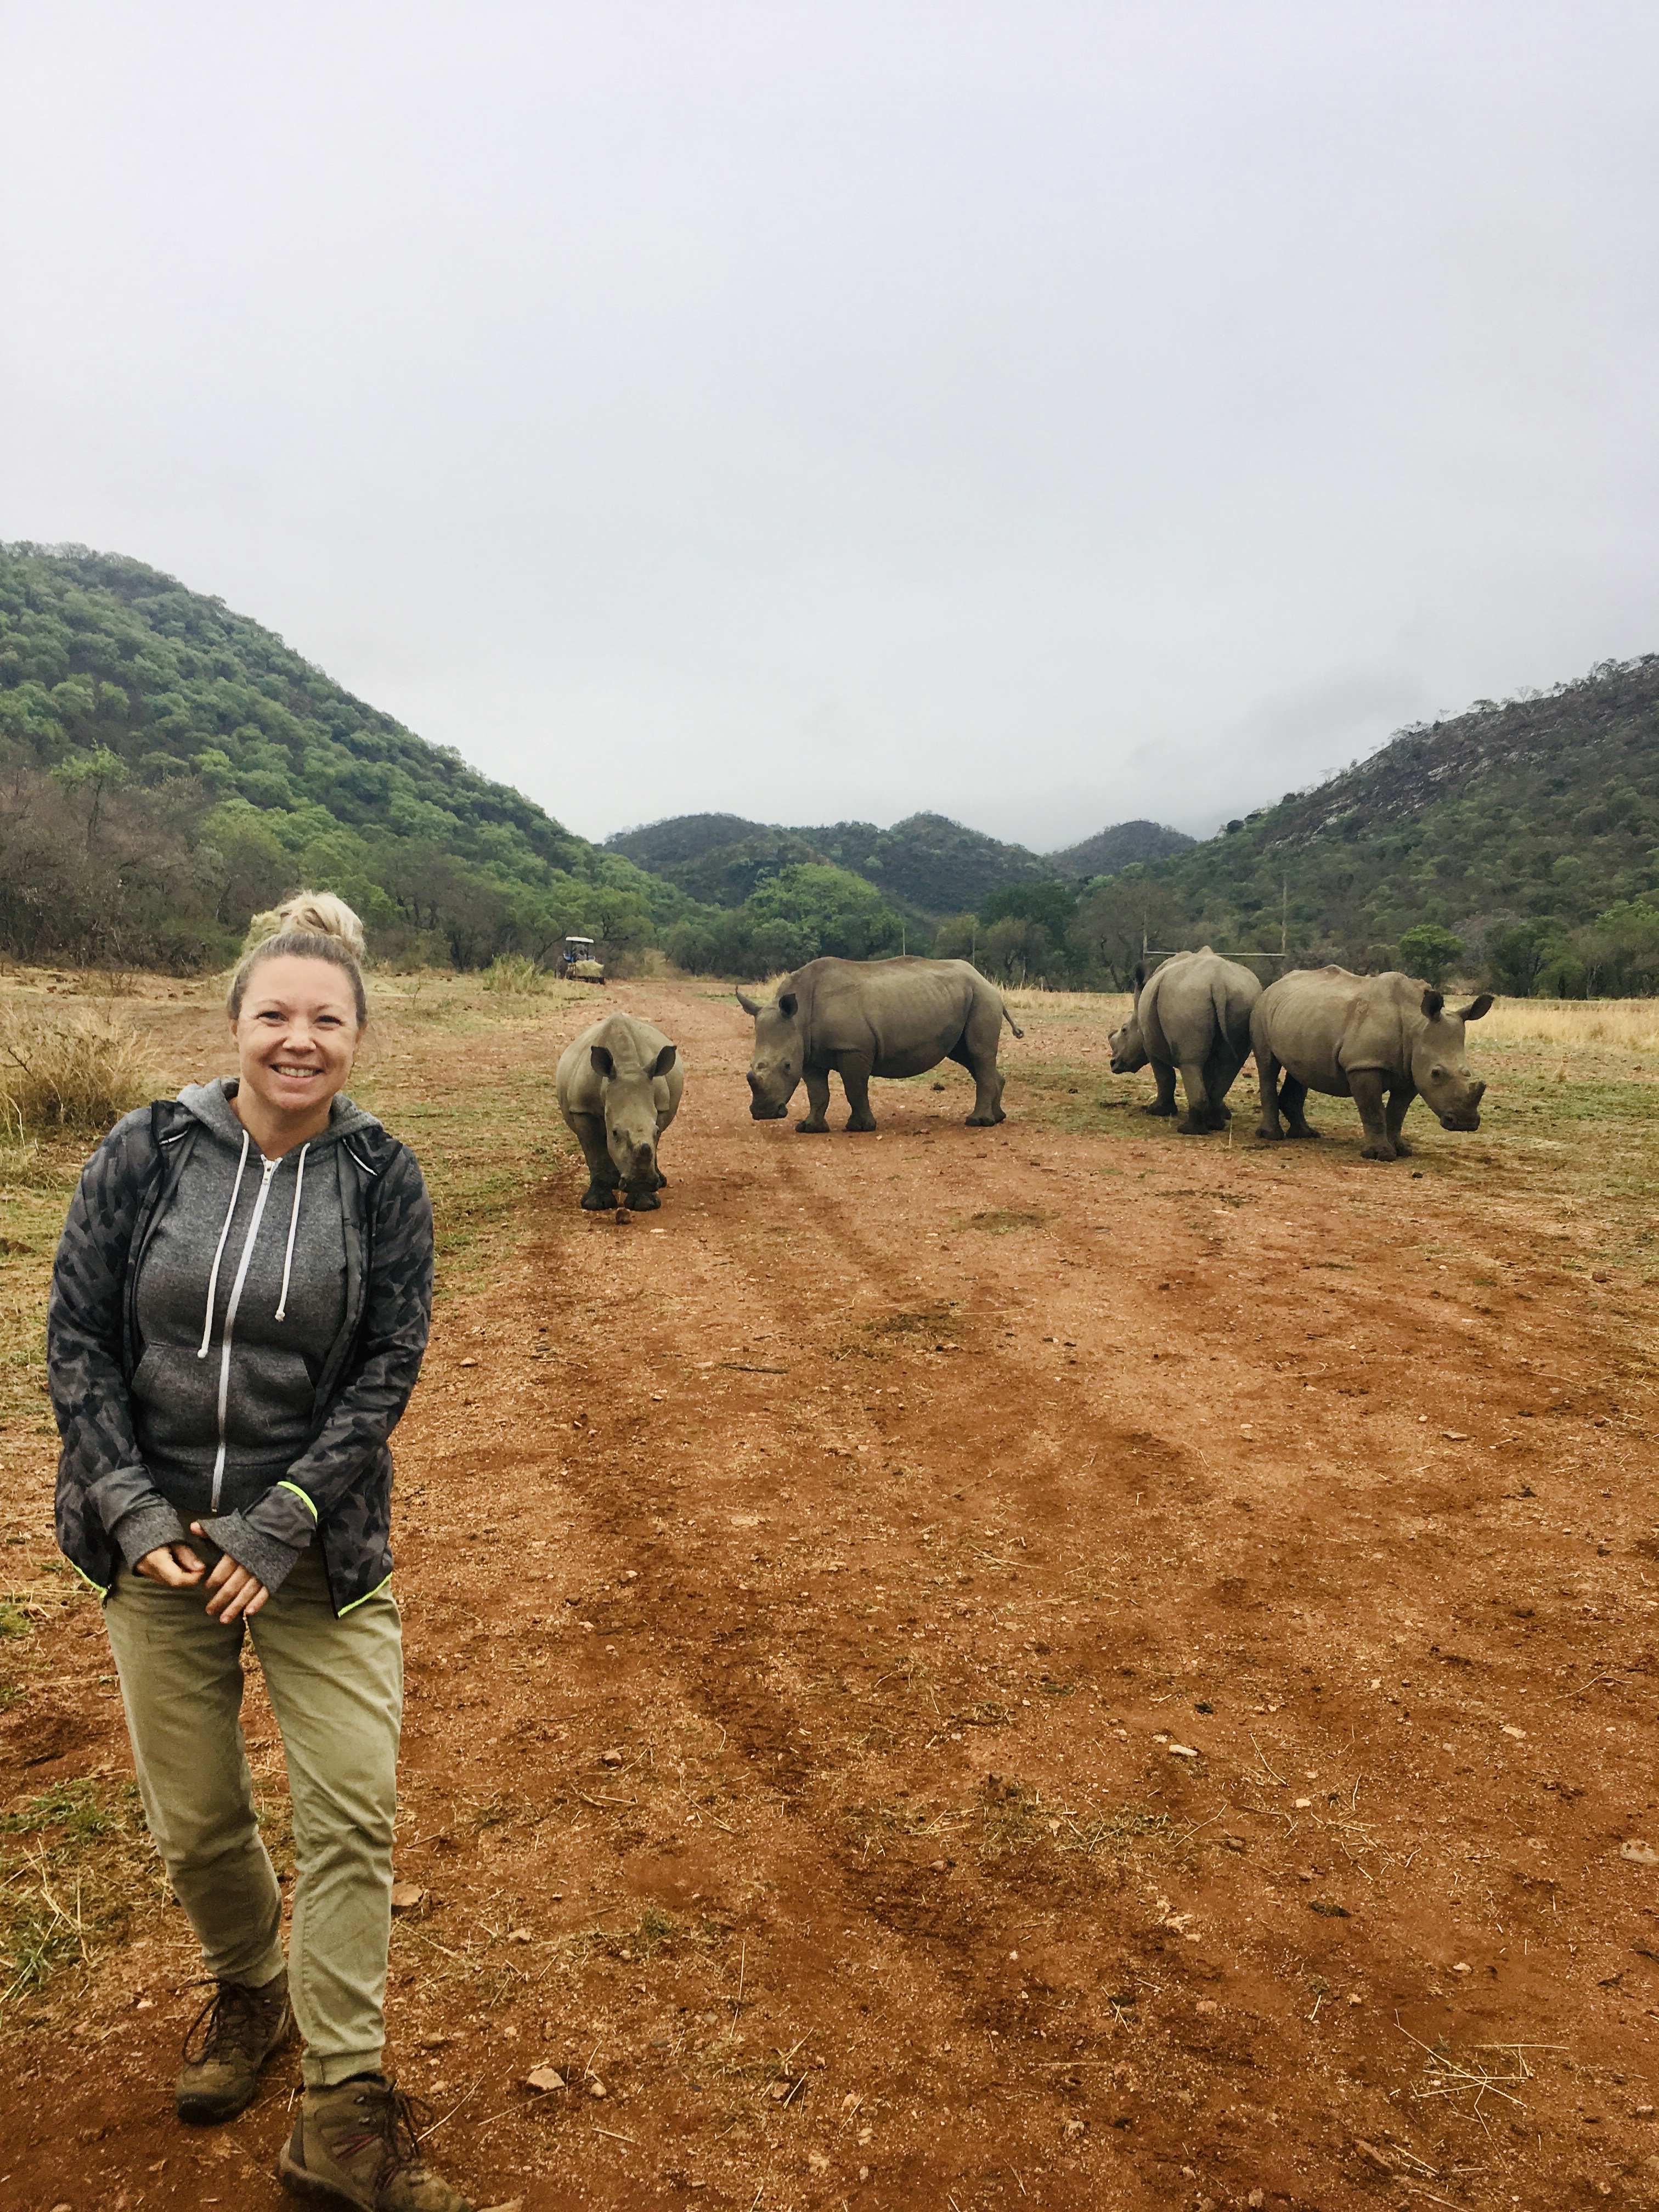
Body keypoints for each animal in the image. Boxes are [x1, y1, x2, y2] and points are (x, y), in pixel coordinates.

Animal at [556, 1012, 684, 1208]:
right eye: (615, 1133)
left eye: (655, 1131)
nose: (641, 1182)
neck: (627, 1066)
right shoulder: (582, 1109)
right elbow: (595, 1153)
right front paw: (597, 1204)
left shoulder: (662, 1106)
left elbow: (654, 1144)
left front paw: (645, 1204)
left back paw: (659, 1182)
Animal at [737, 956, 1023, 1132]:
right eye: (751, 1066)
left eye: (786, 1066)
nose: (763, 1113)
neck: (800, 1014)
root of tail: (986, 980)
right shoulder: (809, 1054)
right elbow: (817, 1092)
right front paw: (809, 1128)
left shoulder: (853, 1048)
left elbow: (855, 1089)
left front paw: (859, 1128)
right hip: (966, 998)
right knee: (968, 1056)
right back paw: (998, 1118)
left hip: (983, 998)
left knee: (978, 1054)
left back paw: (978, 1123)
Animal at [1108, 947, 1261, 1133]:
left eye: (1124, 1030)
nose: (1113, 1064)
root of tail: (1218, 982)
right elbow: (1207, 1075)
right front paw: (1225, 1114)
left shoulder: (1150, 1045)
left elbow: (1165, 1077)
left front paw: (1157, 1111)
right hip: (1240, 998)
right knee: (1230, 1064)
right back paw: (1215, 1124)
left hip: (1185, 998)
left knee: (1190, 1064)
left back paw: (1189, 1129)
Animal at [1251, 966, 1492, 1161]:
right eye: (1436, 1073)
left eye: (1469, 1072)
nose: (1465, 1123)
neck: (1415, 1023)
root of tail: (1275, 984)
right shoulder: (1364, 1064)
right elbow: (1373, 1110)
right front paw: (1381, 1155)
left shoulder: (1411, 1071)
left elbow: (1397, 1112)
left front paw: (1402, 1150)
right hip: (1262, 1008)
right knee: (1267, 1064)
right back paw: (1272, 1137)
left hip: (1299, 1016)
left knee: (1299, 1071)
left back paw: (1306, 1135)